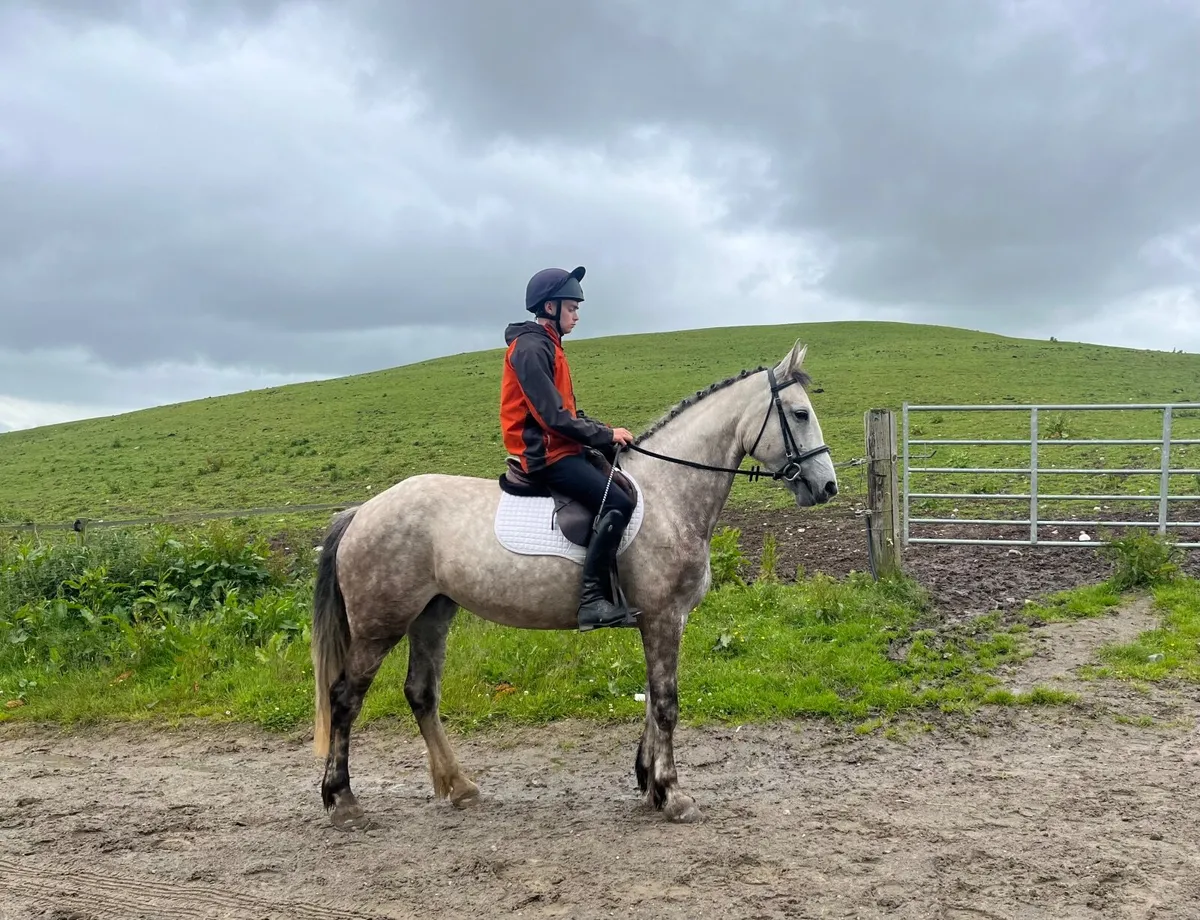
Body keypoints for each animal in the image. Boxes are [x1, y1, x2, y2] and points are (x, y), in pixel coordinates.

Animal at [310, 338, 839, 828]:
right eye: (800, 413)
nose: (827, 487)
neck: (668, 493)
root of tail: (362, 511)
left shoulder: (662, 621)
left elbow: (652, 700)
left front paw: (648, 783)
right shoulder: (664, 618)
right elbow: (666, 704)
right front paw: (672, 794)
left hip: (432, 614)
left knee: (421, 694)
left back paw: (459, 787)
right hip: (380, 626)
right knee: (345, 699)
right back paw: (343, 801)